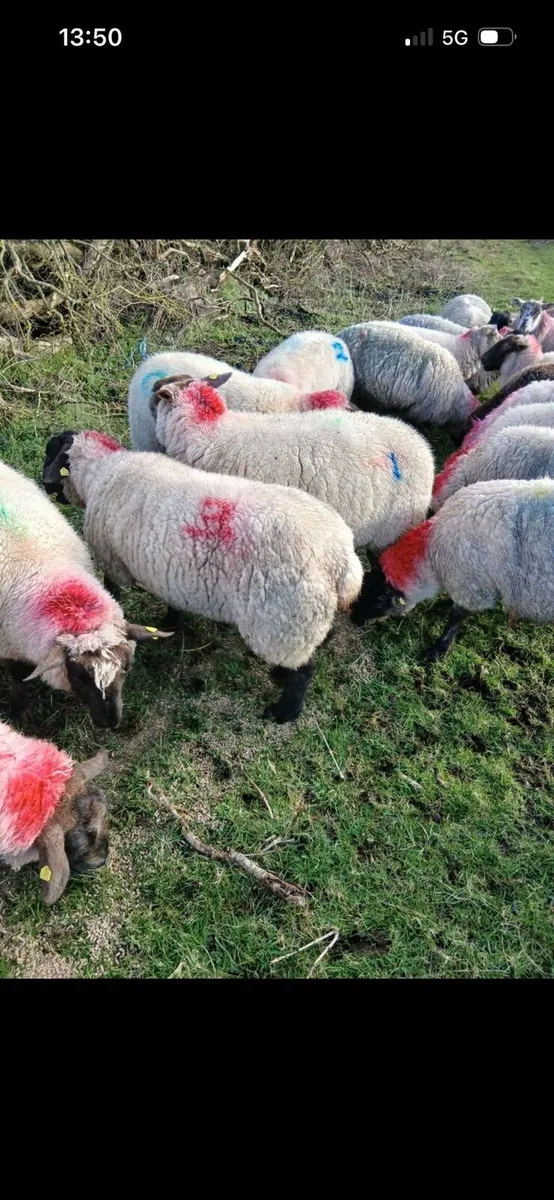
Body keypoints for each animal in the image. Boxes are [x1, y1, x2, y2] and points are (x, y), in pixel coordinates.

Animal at [0, 456, 168, 728]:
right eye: (79, 678)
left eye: (127, 667)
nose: (110, 722)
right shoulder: (7, 645)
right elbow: (17, 677)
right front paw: (20, 712)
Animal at [41, 430, 363, 724]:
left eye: (49, 453)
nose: (44, 485)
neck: (103, 471)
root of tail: (340, 558)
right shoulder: (171, 575)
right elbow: (174, 604)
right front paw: (170, 625)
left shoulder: (113, 560)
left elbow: (112, 592)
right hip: (307, 617)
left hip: (284, 622)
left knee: (303, 672)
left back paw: (285, 711)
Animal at [350, 477, 554, 660]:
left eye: (378, 601)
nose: (353, 619)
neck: (432, 552)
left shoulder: (471, 585)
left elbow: (456, 616)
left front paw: (438, 649)